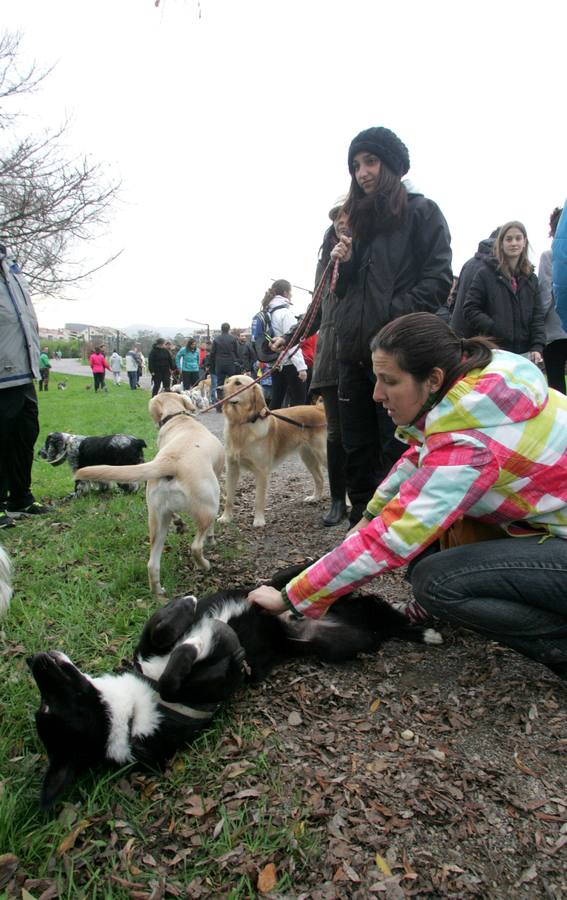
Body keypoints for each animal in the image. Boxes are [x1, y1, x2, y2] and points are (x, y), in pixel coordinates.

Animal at [27, 564, 444, 808]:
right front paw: (205, 648)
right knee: (383, 625)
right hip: (342, 644)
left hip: (294, 588)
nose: (32, 659)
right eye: (47, 705)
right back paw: (424, 633)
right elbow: (175, 680)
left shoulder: (151, 647)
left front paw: (188, 607)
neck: (128, 716)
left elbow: (163, 631)